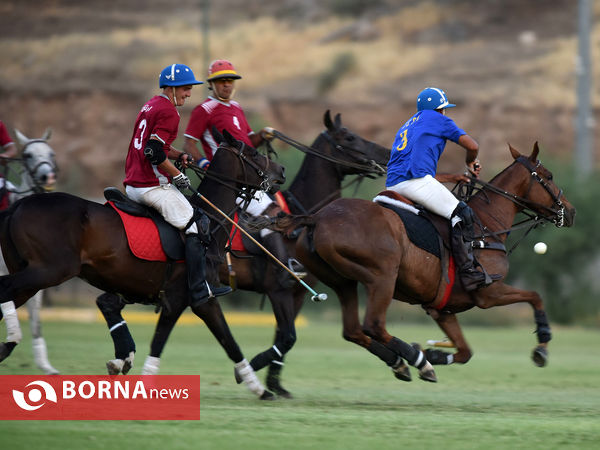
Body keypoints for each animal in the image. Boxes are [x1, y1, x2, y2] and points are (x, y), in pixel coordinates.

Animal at [0, 132, 284, 400]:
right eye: (254, 153)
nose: (280, 171)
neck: (211, 224)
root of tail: (17, 205)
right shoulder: (193, 298)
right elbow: (211, 341)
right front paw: (260, 389)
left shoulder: (159, 295)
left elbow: (217, 341)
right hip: (49, 270)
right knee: (5, 289)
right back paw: (12, 339)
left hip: (32, 274)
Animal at [274, 144, 576, 384]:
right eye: (548, 176)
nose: (570, 212)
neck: (485, 225)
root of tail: (316, 218)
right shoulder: (489, 293)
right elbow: (535, 296)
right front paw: (542, 348)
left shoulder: (442, 309)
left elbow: (465, 352)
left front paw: (435, 352)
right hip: (383, 277)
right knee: (373, 325)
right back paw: (415, 359)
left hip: (341, 281)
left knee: (353, 331)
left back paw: (403, 363)